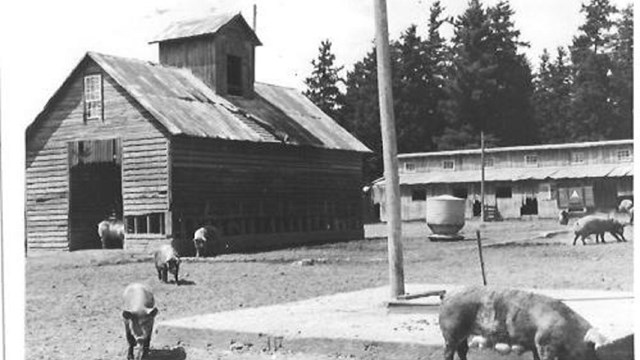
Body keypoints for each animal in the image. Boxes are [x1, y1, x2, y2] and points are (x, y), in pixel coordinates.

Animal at [440, 286, 604, 360]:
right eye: (590, 352)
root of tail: (447, 295)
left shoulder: (535, 344)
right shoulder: (544, 343)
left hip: (463, 334)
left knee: (462, 350)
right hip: (450, 332)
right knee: (449, 352)